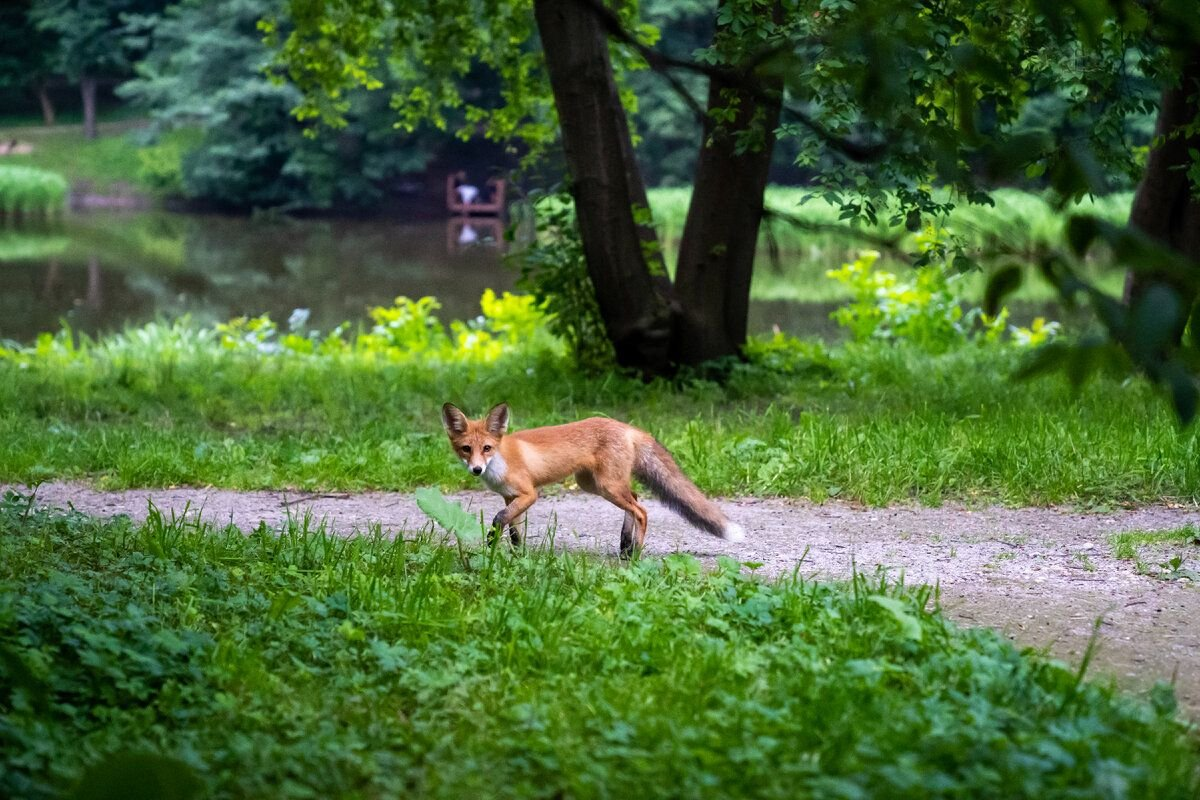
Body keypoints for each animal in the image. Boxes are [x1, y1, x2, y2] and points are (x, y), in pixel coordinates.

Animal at [441, 400, 739, 556]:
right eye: (466, 449)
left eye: (486, 448)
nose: (476, 470)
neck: (500, 461)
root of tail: (628, 427)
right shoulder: (510, 496)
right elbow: (514, 529)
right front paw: (516, 554)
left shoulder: (529, 494)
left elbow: (499, 519)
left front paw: (492, 544)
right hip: (595, 484)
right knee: (636, 499)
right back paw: (625, 544)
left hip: (607, 486)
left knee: (642, 510)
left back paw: (635, 552)